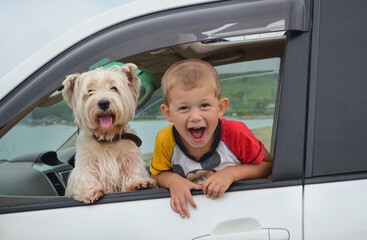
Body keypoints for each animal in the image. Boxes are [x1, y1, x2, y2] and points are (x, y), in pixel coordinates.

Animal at [62, 63, 157, 202]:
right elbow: (86, 176)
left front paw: (139, 183)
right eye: (90, 91)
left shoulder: (129, 158)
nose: (103, 103)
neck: (107, 137)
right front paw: (90, 191)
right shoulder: (86, 162)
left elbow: (133, 170)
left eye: (114, 88)